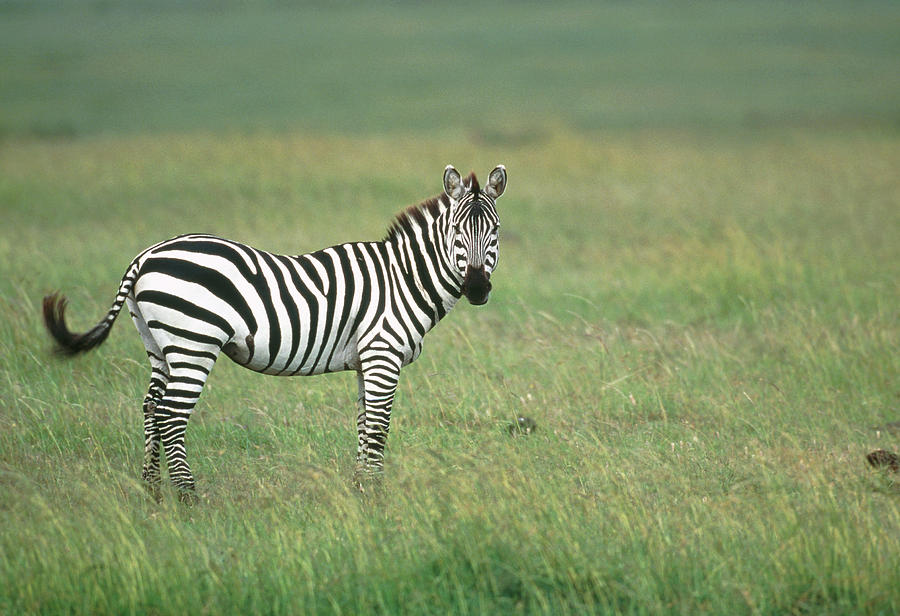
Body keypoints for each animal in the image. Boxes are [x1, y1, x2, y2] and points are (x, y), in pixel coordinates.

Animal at [42, 165, 506, 500]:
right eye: (457, 232)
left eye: (495, 232)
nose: (477, 289)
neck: (404, 277)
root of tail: (146, 254)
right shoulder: (382, 355)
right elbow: (378, 427)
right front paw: (376, 495)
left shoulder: (366, 360)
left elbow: (363, 424)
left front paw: (361, 489)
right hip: (193, 343)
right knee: (172, 414)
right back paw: (190, 497)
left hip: (158, 343)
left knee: (151, 407)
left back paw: (151, 491)